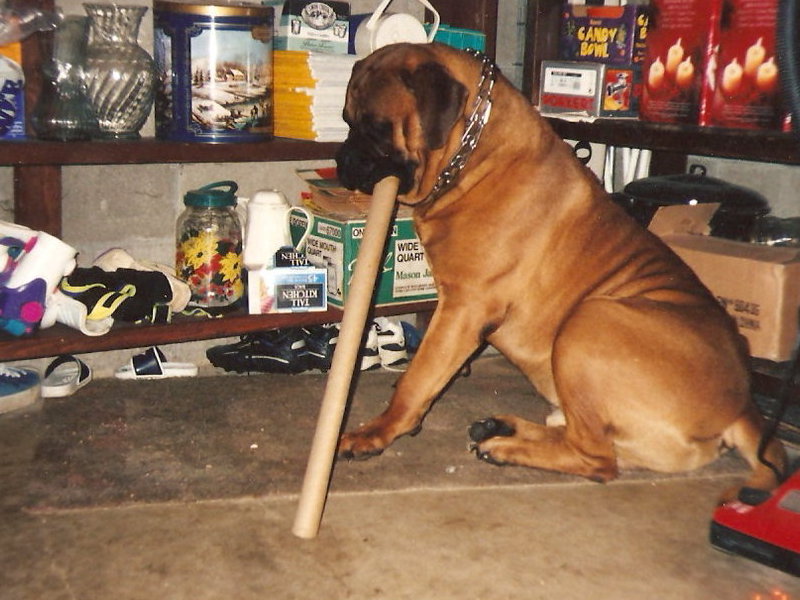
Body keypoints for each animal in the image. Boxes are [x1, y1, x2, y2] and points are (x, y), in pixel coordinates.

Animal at [332, 43, 788, 502]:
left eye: (377, 127)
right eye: (348, 120)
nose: (342, 160)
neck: (473, 152)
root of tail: (742, 407)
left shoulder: (464, 307)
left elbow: (418, 376)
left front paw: (378, 431)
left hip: (589, 322)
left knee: (597, 459)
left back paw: (506, 446)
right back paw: (502, 428)